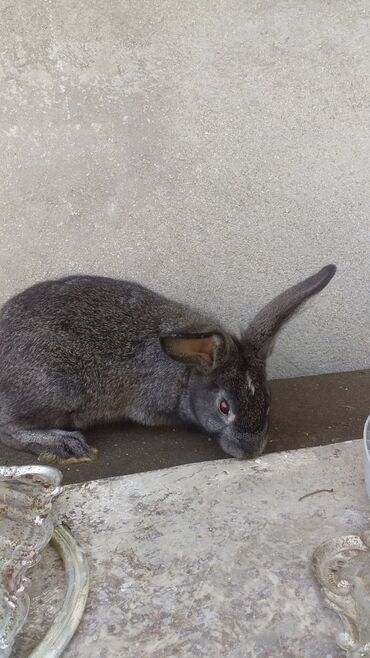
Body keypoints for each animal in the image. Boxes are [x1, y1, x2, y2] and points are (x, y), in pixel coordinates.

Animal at [0, 264, 336, 458]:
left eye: (268, 401)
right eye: (223, 407)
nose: (250, 450)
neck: (186, 374)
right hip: (54, 389)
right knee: (7, 429)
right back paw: (65, 445)